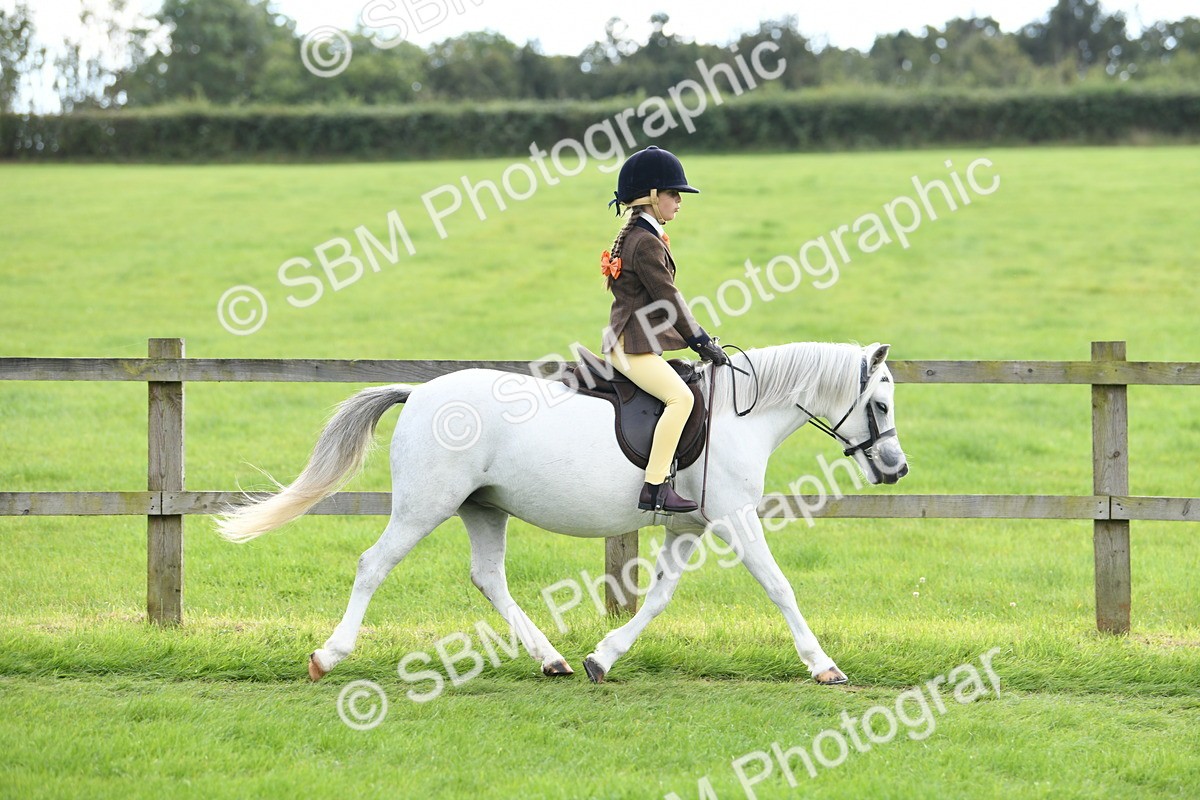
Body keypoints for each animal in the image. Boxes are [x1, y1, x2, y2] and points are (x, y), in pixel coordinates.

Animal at [217, 341, 908, 686]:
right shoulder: (734, 518)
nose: (896, 468)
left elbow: (658, 598)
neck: (742, 413)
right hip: (425, 506)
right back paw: (327, 656)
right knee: (372, 565)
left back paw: (553, 659)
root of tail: (419, 394)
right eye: (879, 404)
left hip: (482, 508)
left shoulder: (687, 526)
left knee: (488, 577)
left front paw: (604, 658)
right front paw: (825, 666)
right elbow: (780, 586)